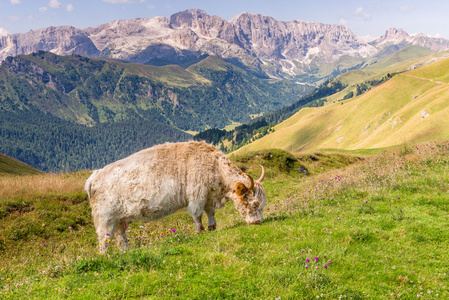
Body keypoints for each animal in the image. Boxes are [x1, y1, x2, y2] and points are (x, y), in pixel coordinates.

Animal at [84, 141, 264, 253]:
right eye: (254, 203)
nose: (258, 222)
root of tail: (94, 176)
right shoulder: (197, 195)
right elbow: (197, 214)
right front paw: (201, 231)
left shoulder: (208, 196)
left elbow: (210, 212)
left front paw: (212, 227)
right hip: (105, 219)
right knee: (104, 241)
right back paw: (106, 256)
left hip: (120, 220)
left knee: (121, 238)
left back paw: (126, 252)